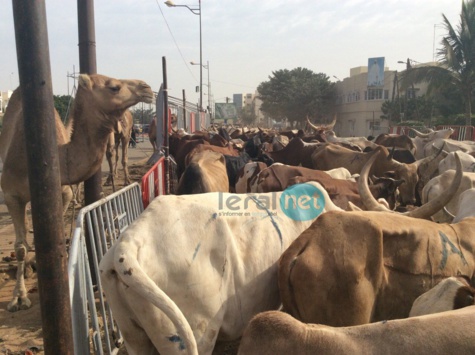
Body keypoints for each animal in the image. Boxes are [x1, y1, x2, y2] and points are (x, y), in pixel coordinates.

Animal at [0, 73, 152, 312]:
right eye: (114, 87)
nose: (146, 88)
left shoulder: (64, 192)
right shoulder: (11, 194)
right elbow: (20, 247)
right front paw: (18, 297)